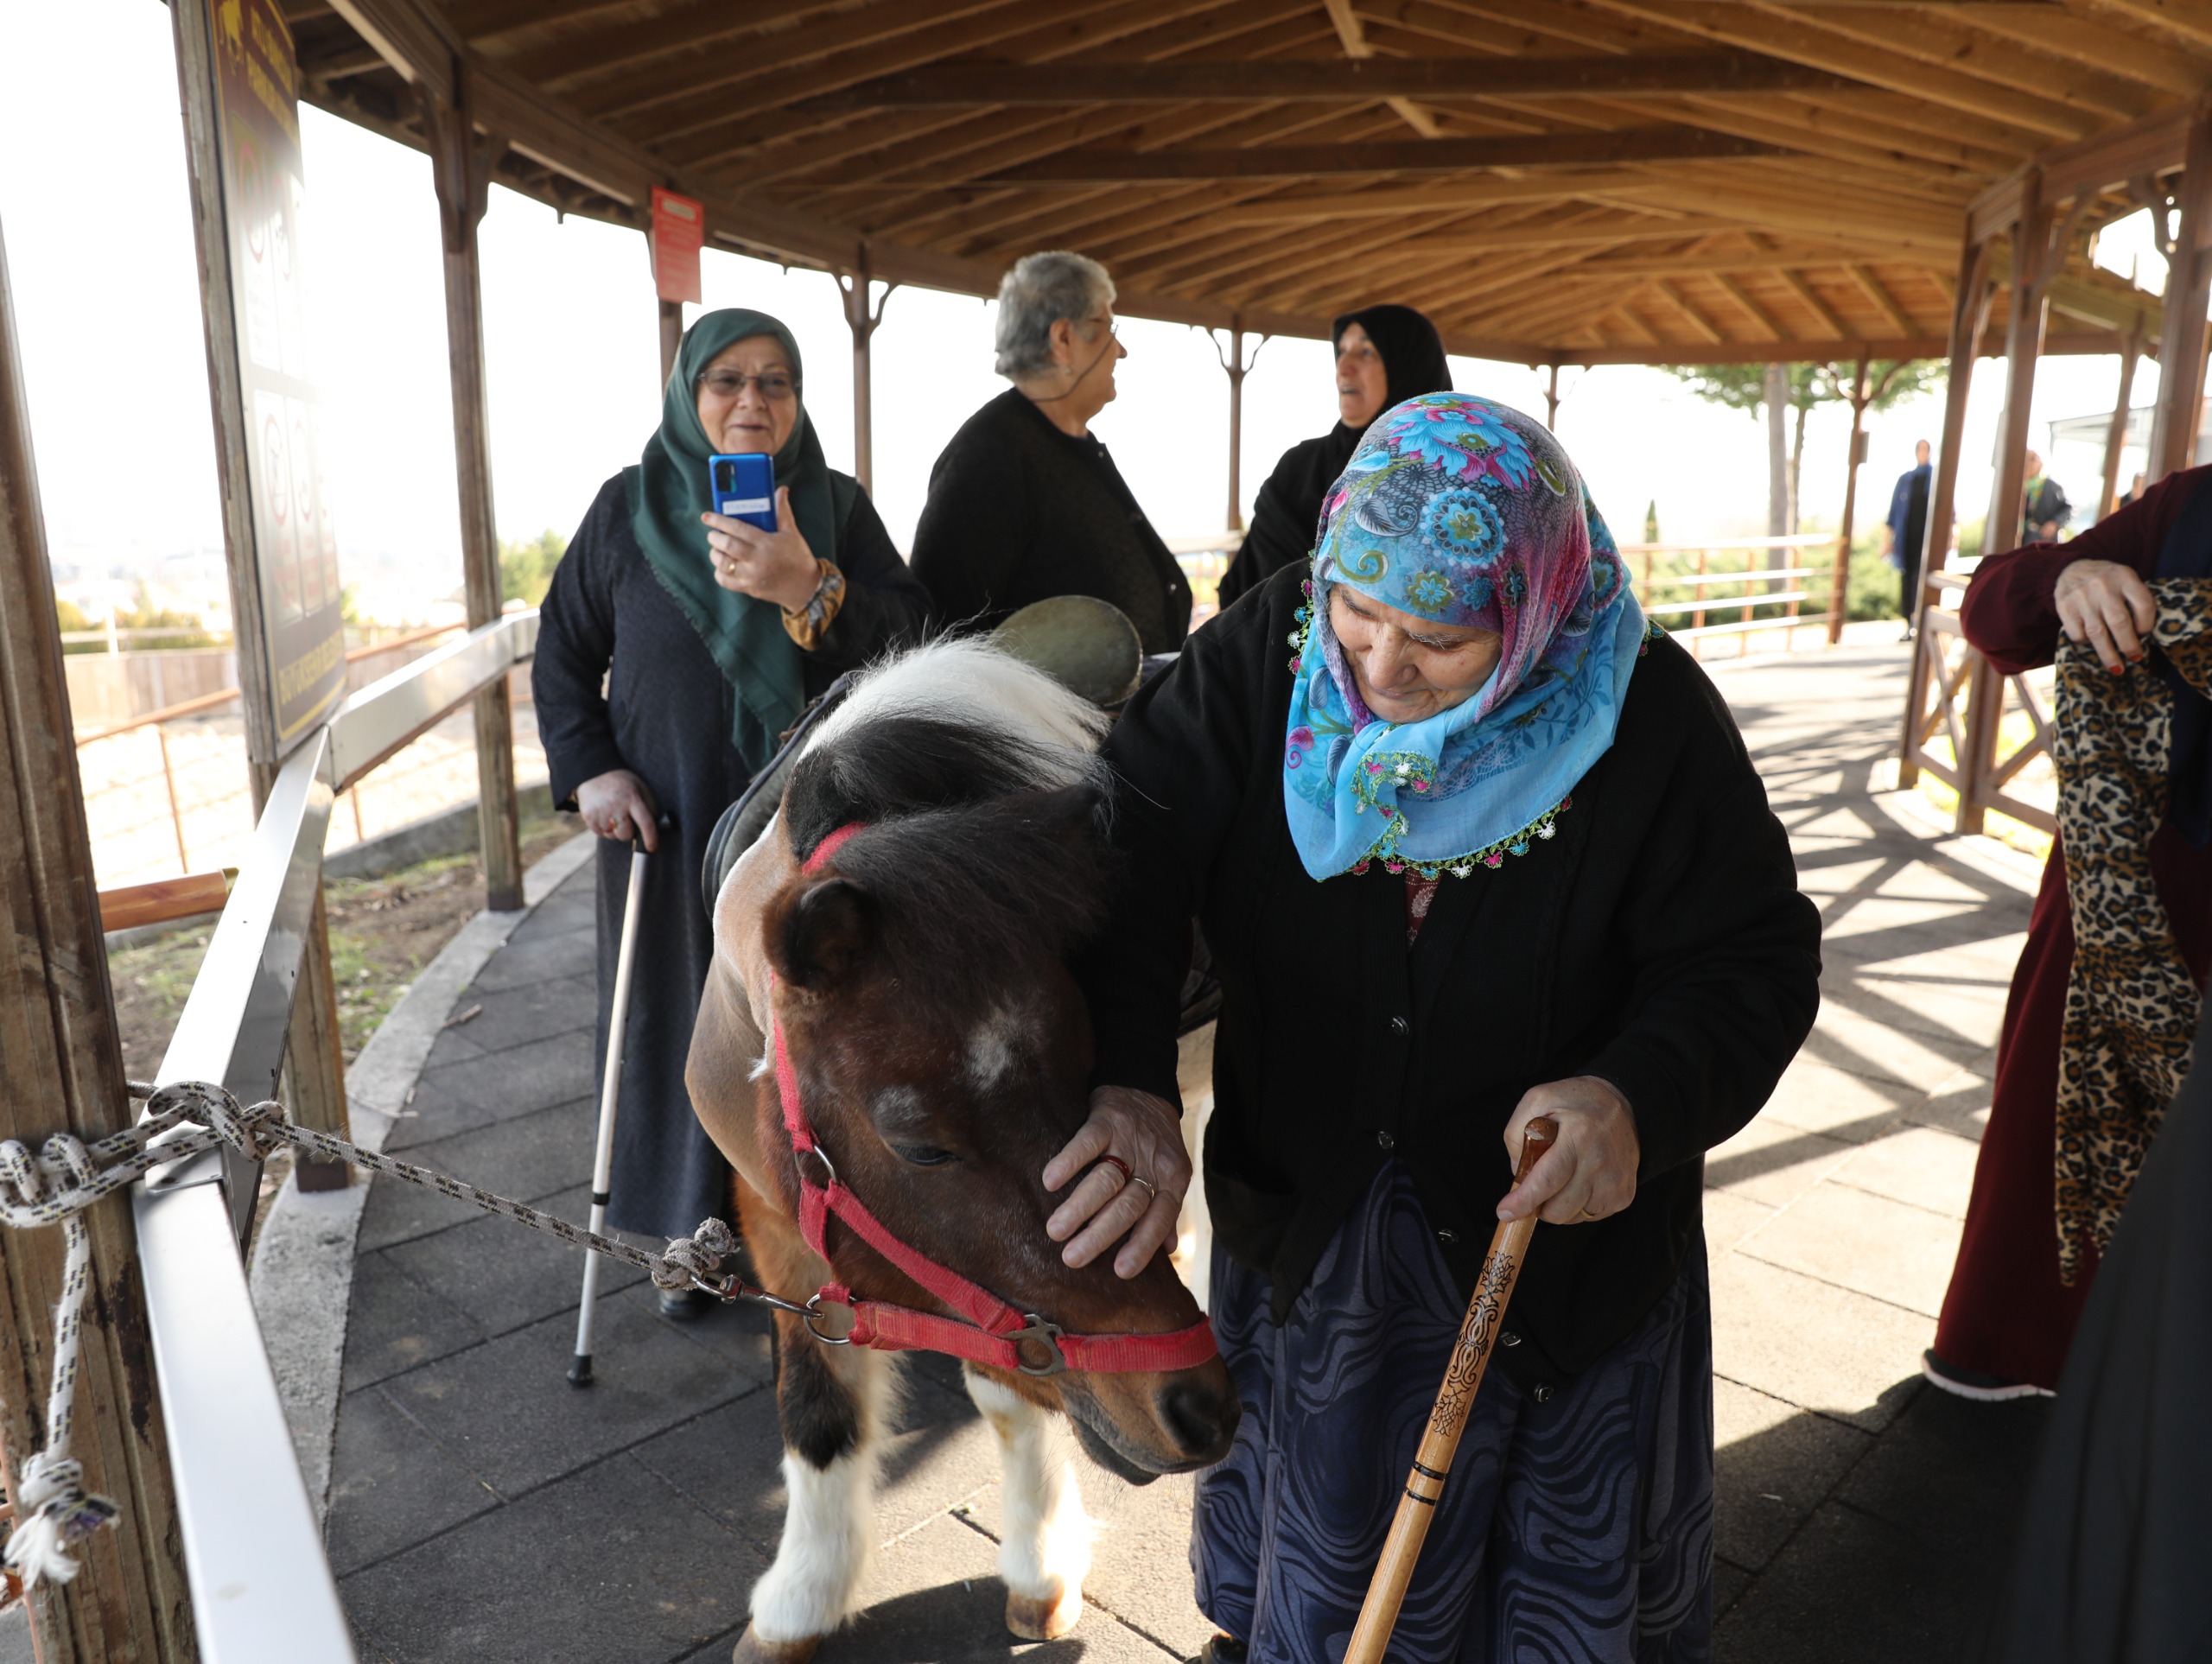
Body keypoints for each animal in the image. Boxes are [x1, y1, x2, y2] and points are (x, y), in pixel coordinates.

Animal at [685, 641, 1238, 1663]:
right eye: (920, 1146)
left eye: (1097, 1063)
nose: (1199, 1407)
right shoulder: (778, 1225)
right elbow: (817, 1410)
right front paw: (799, 1602)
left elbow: (1014, 1396)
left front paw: (1039, 1566)